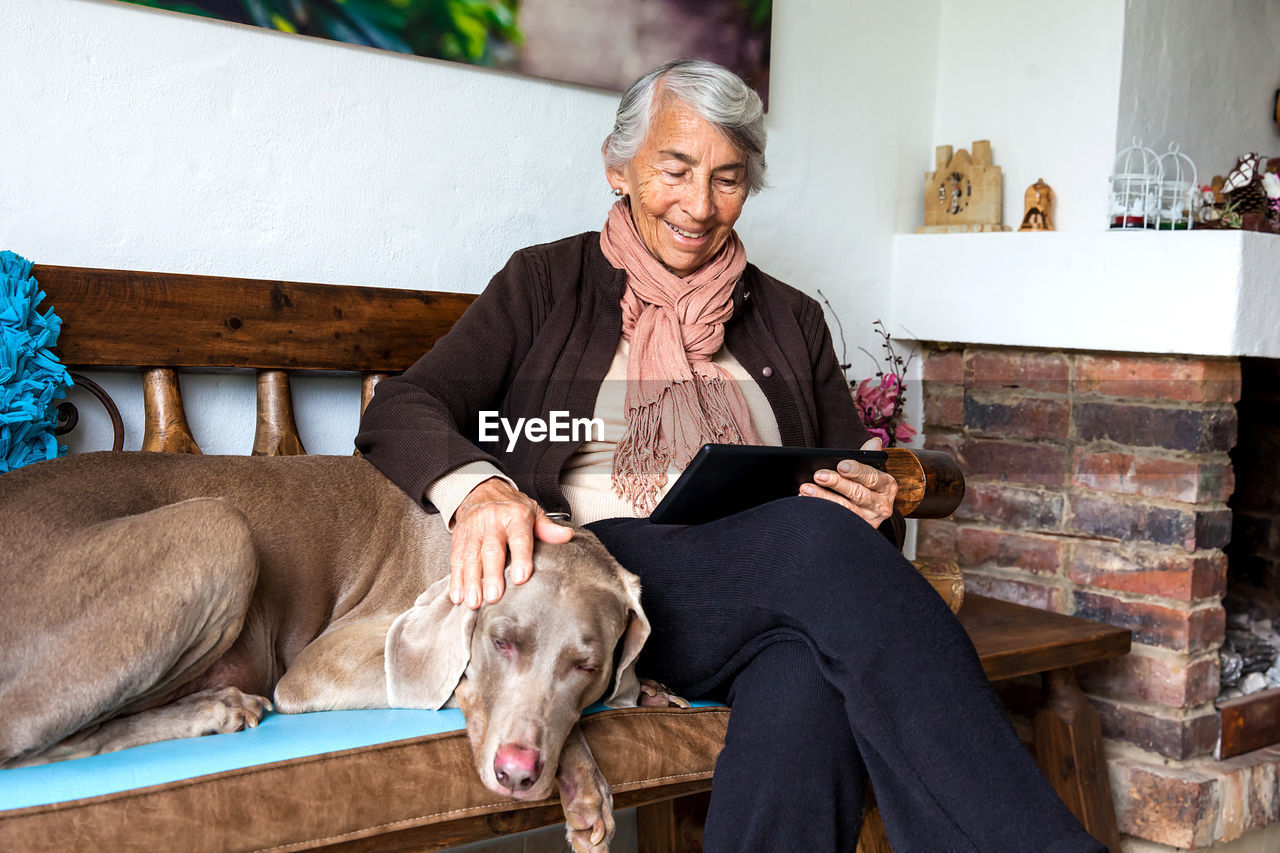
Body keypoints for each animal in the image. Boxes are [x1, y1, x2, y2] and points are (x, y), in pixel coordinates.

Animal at [0, 448, 660, 845]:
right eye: (500, 642)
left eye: (586, 666)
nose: (519, 774)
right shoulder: (319, 666)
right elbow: (452, 685)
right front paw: (583, 778)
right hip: (219, 527)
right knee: (37, 740)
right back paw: (214, 710)